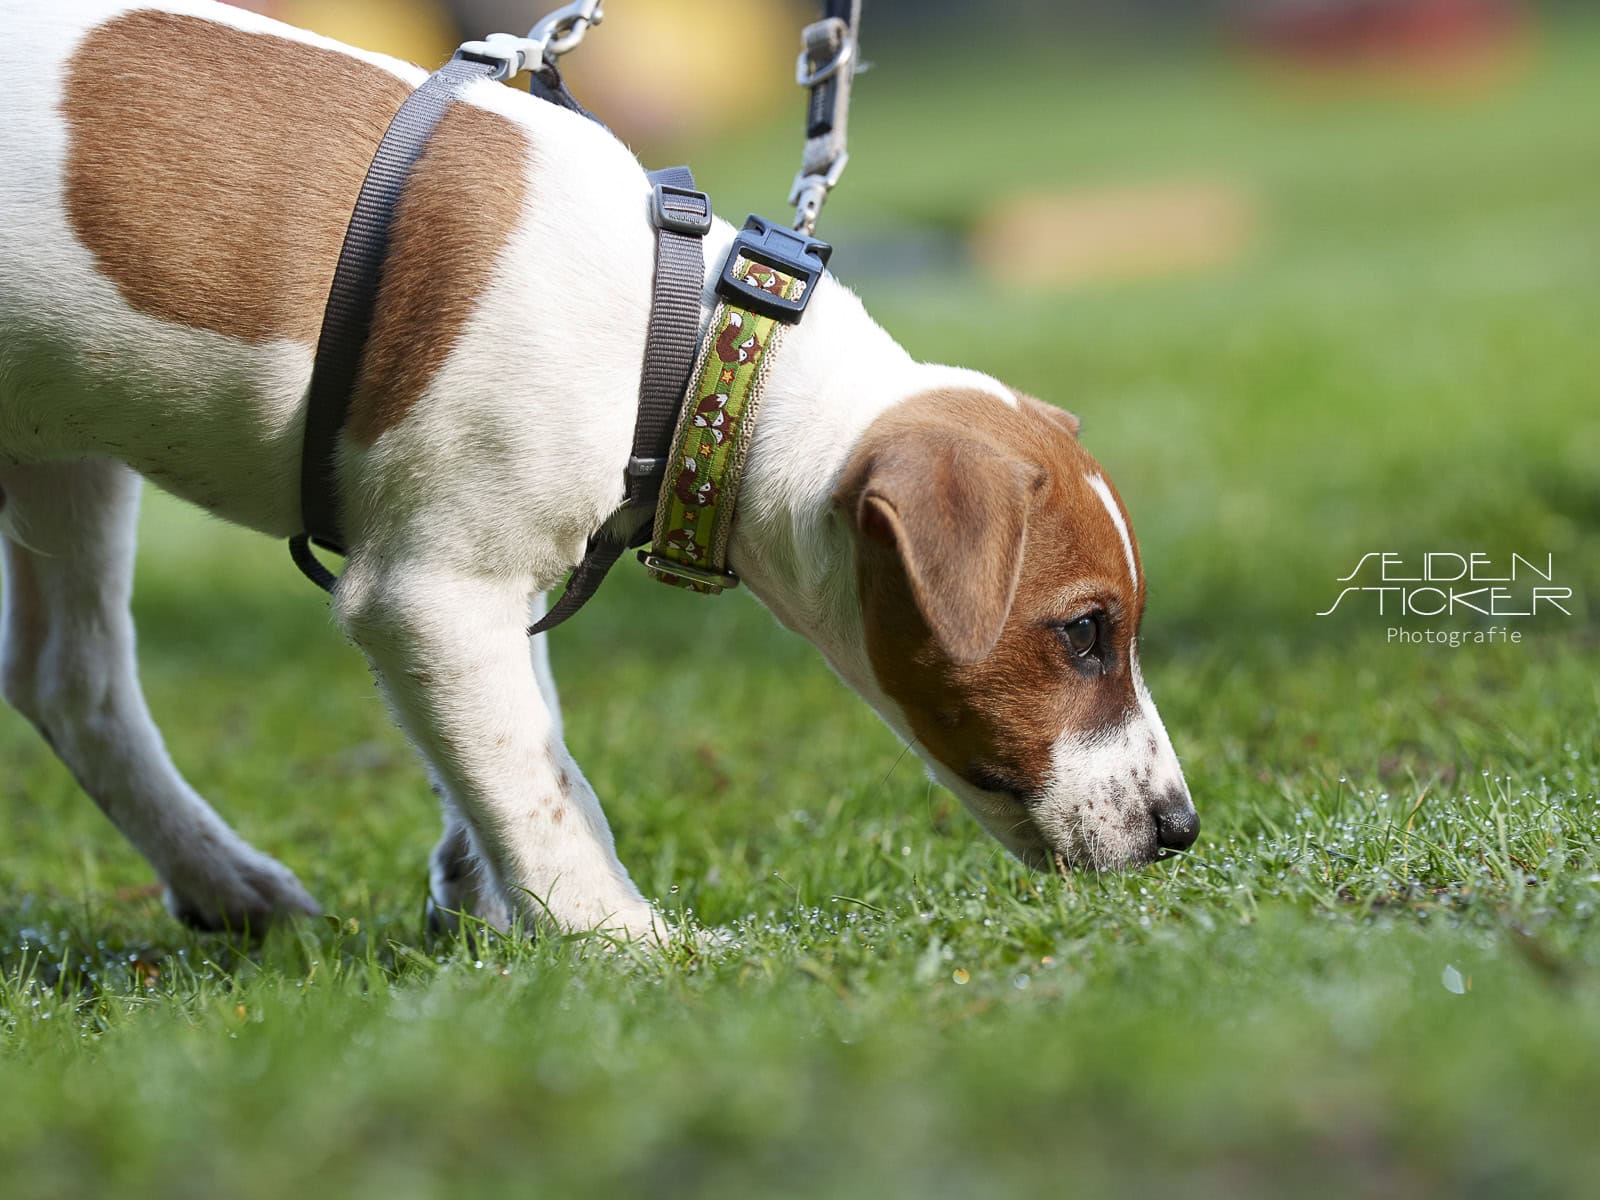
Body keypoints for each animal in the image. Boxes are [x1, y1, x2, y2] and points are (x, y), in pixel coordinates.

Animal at [0, 0, 1198, 939]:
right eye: (1083, 633)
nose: (1182, 829)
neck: (696, 352)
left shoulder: (490, 580)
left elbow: (520, 745)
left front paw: (483, 889)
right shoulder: (432, 596)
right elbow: (542, 785)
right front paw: (625, 940)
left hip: (65, 454)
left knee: (70, 679)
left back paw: (223, 882)